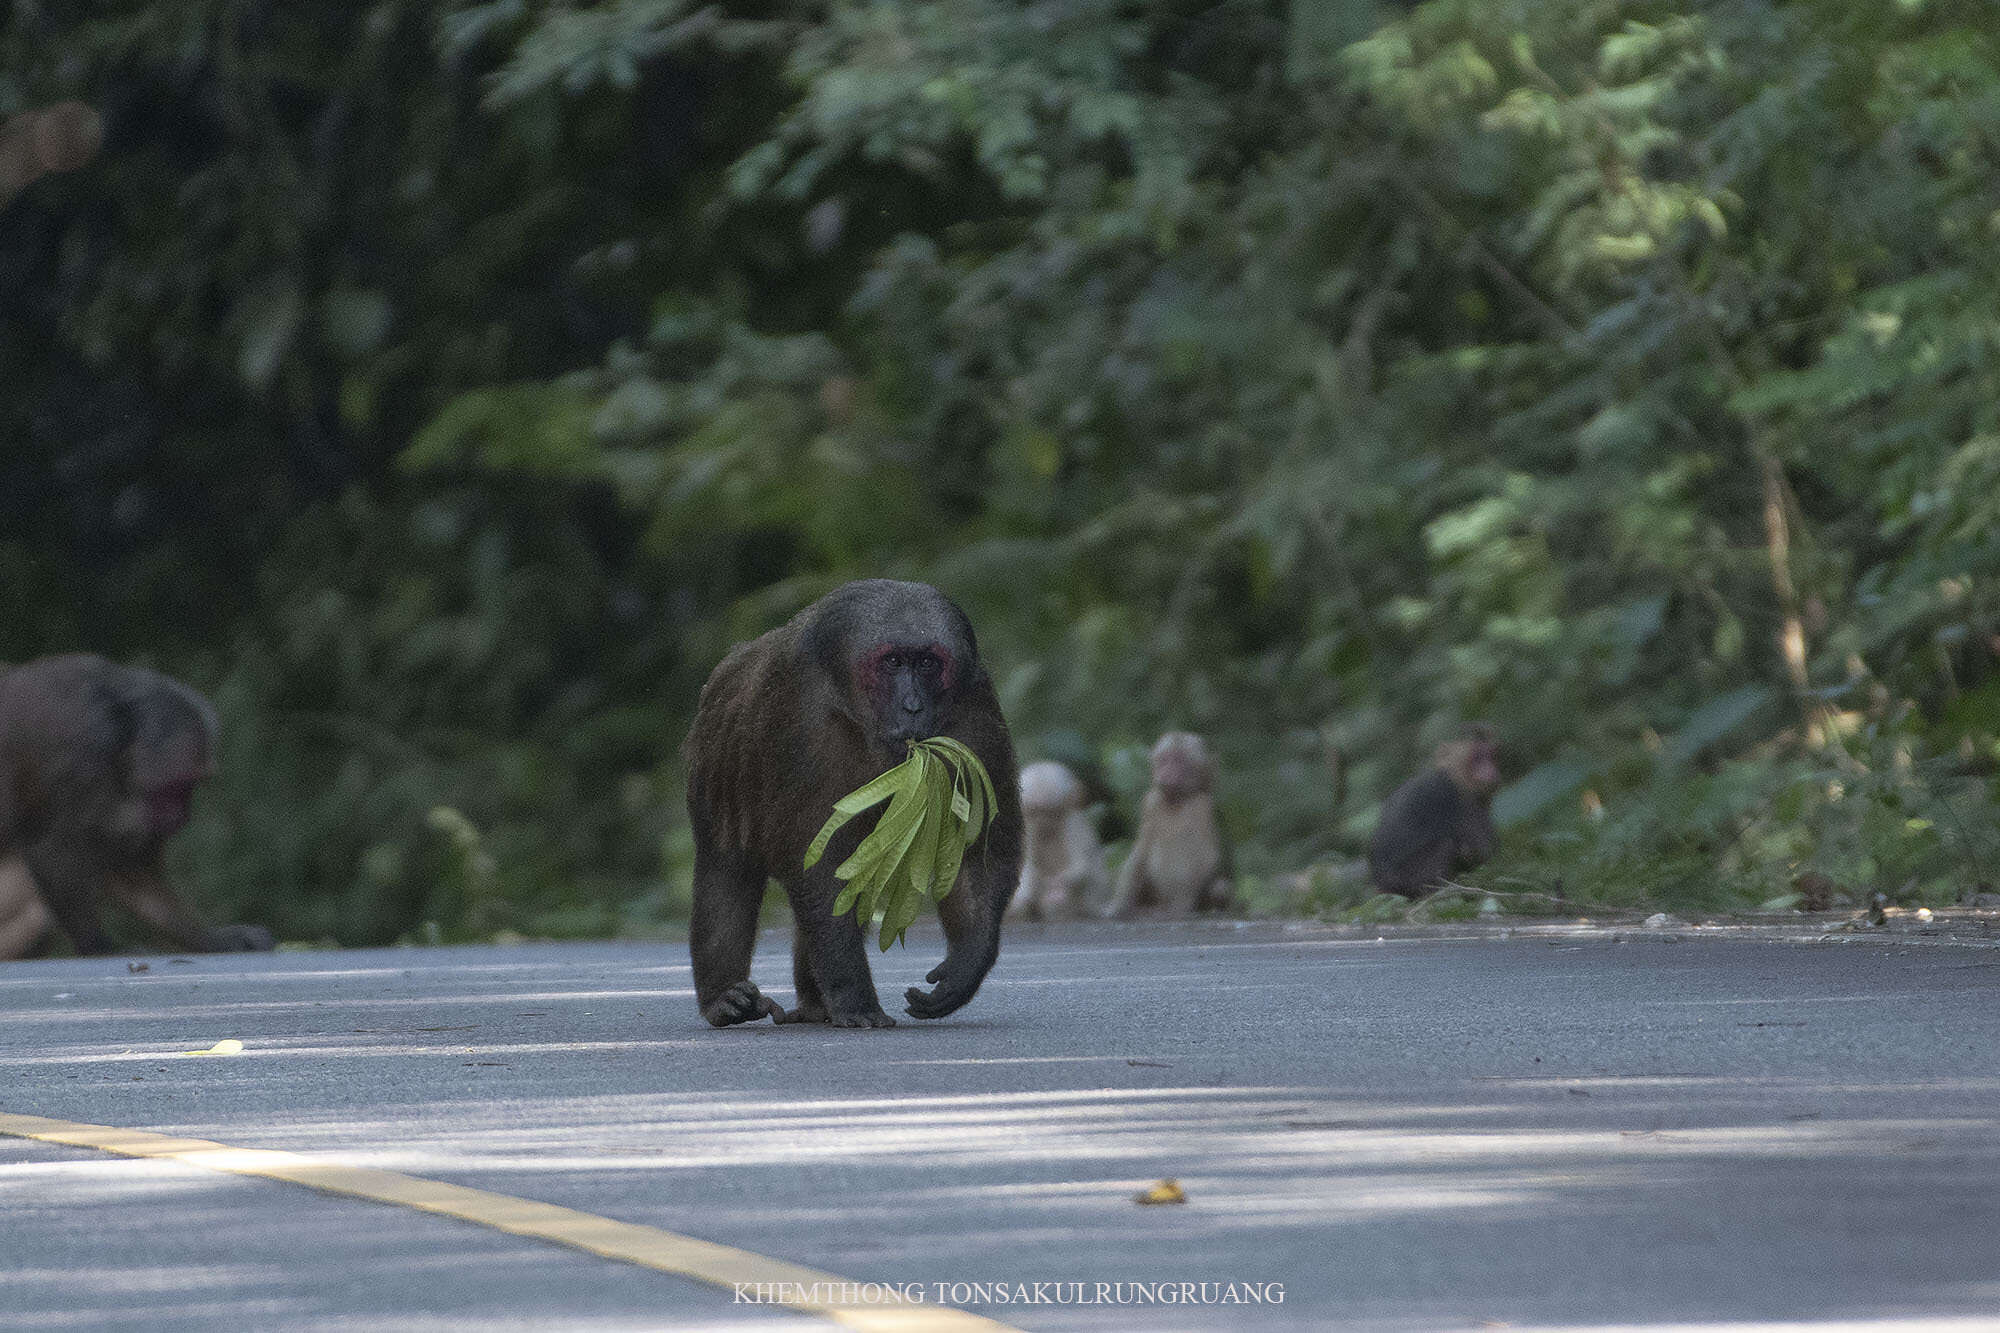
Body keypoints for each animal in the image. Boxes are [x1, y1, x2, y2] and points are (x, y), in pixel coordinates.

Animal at [0, 652, 276, 956]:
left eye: (191, 786)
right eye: (175, 788)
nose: (183, 815)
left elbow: (130, 870)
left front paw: (212, 939)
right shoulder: (73, 748)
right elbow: (50, 850)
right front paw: (100, 948)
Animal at [688, 576, 1032, 1020]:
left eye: (927, 663)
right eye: (893, 663)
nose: (912, 706)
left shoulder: (974, 708)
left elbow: (977, 847)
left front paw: (968, 960)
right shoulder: (802, 717)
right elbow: (818, 863)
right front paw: (852, 992)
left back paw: (816, 1003)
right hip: (710, 758)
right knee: (725, 869)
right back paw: (725, 997)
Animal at [1016, 764, 1112, 920]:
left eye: (1052, 812)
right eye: (1035, 811)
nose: (1043, 822)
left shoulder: (1072, 824)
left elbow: (1082, 867)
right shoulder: (1028, 828)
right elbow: (1027, 868)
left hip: (1088, 903)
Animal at [1104, 728, 1224, 912]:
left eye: (1179, 761)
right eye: (1164, 759)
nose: (1166, 772)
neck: (1175, 800)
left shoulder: (1200, 807)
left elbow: (1203, 856)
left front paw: (1181, 905)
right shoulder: (1150, 802)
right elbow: (1142, 851)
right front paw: (1119, 903)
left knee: (1220, 887)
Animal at [1376, 720, 1504, 896]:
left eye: (1492, 756)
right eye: (1477, 757)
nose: (1491, 771)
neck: (1455, 777)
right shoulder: (1445, 790)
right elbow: (1480, 849)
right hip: (1409, 879)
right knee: (1445, 846)